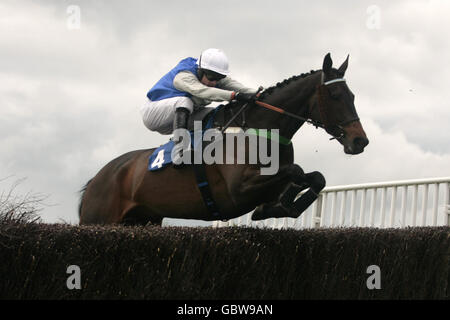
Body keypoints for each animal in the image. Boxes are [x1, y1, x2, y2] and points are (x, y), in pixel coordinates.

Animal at [79, 53, 368, 225]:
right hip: (99, 219)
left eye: (353, 96)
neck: (258, 129)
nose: (359, 141)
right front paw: (279, 205)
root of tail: (97, 178)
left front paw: (278, 207)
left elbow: (316, 177)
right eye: (335, 96)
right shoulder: (239, 189)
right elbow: (296, 171)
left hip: (144, 219)